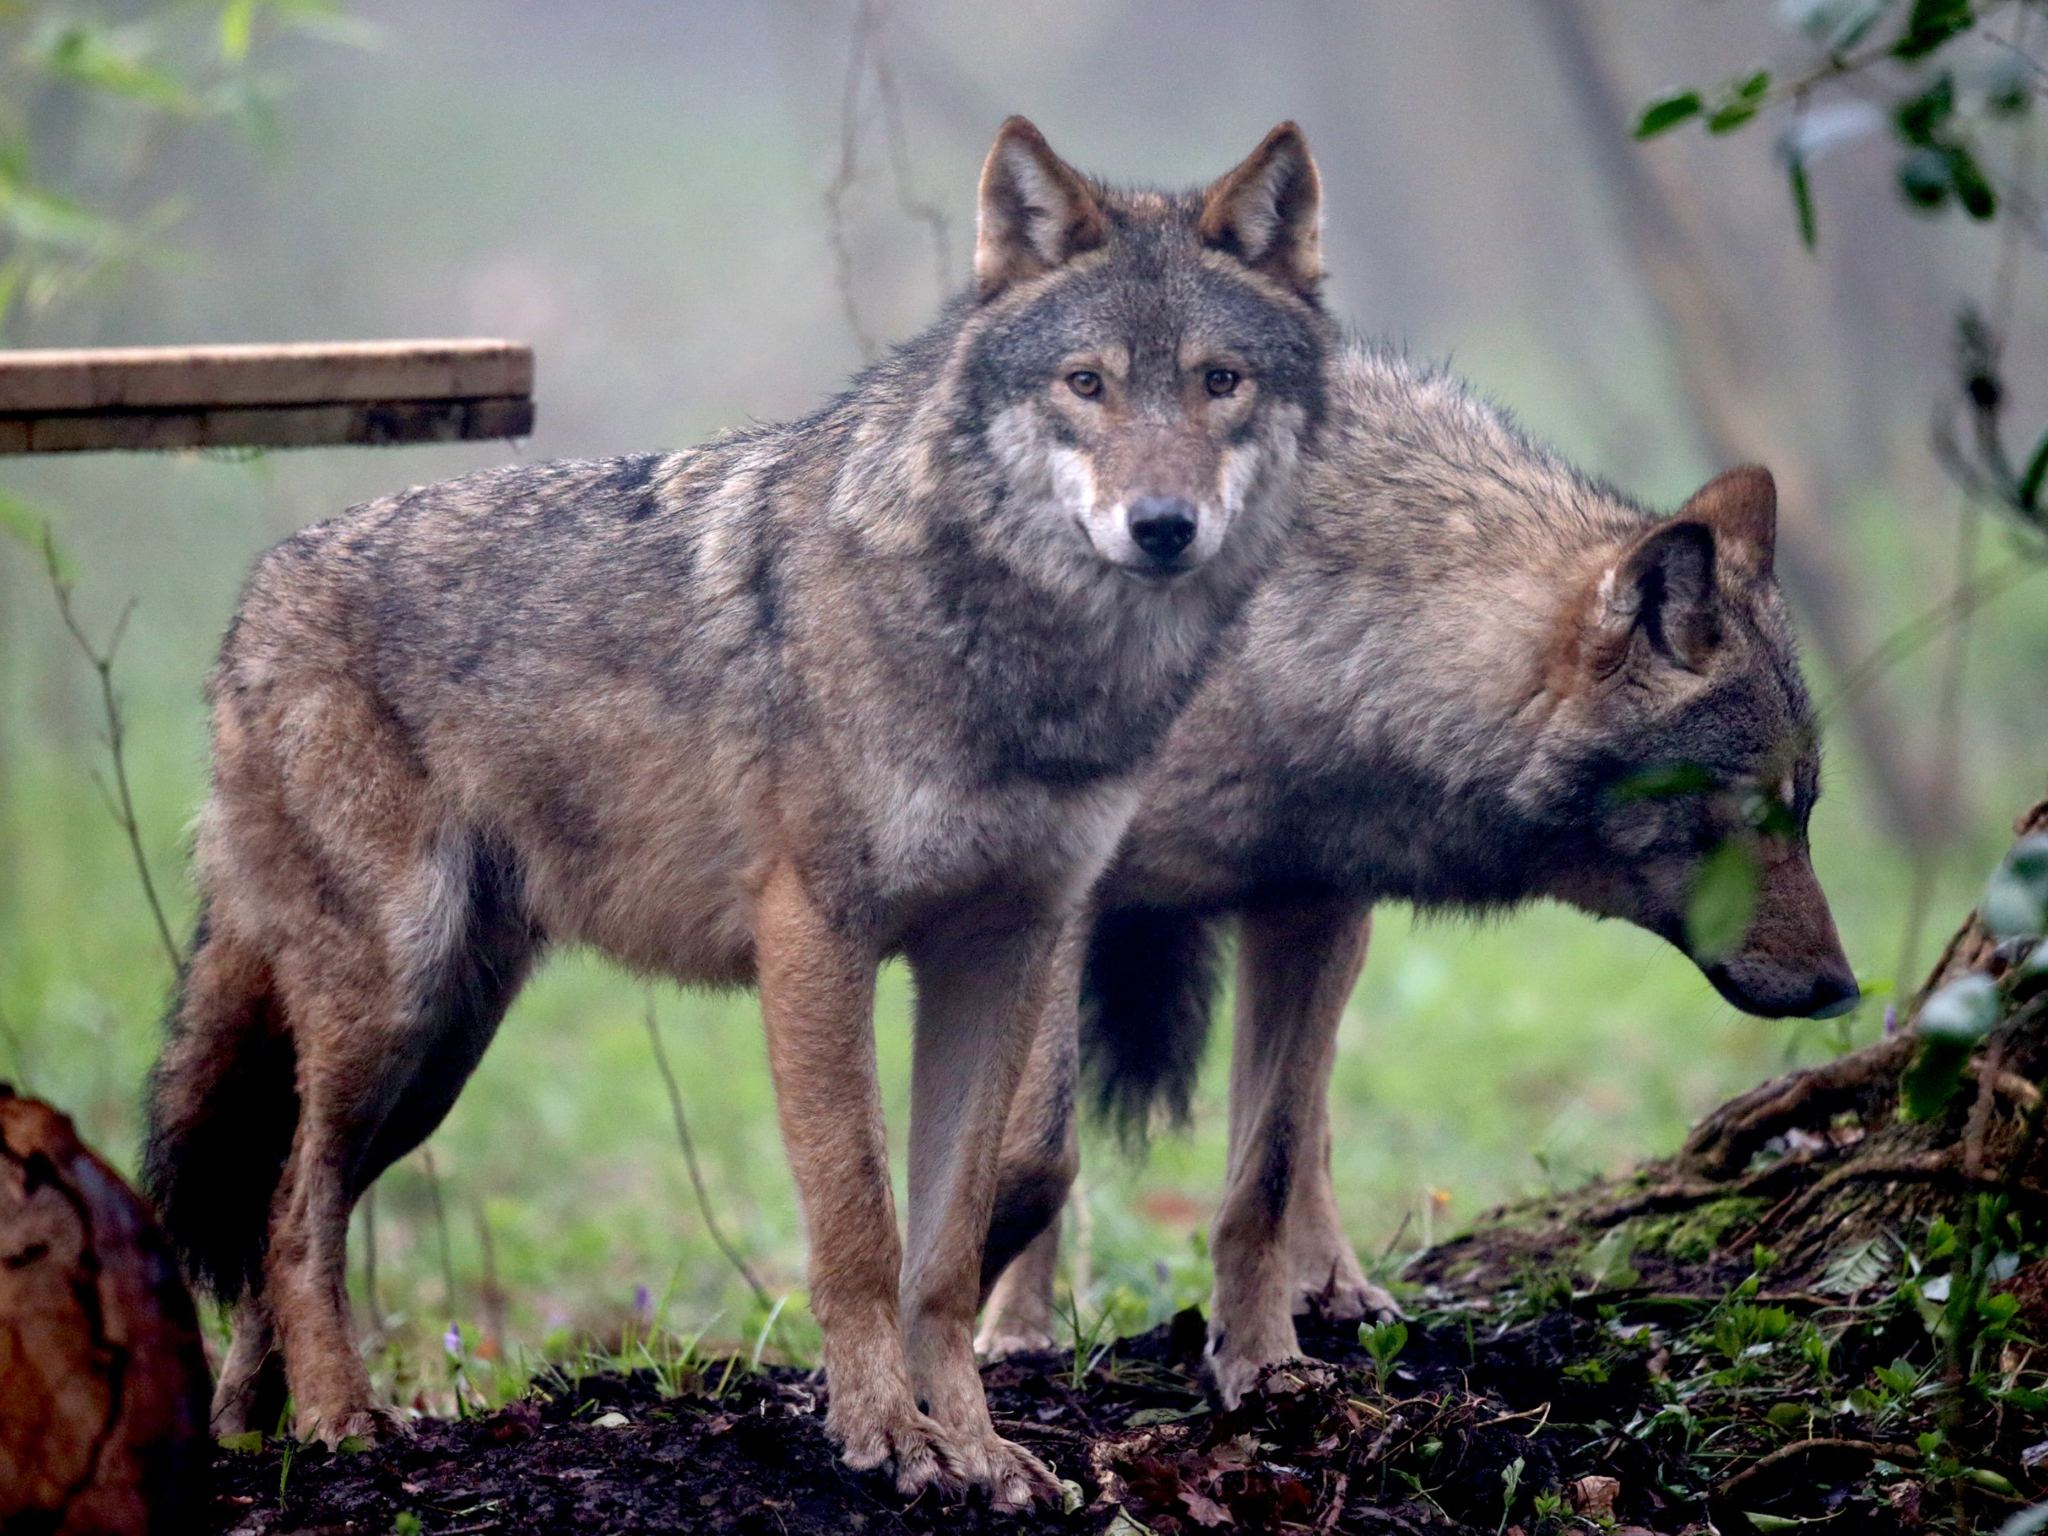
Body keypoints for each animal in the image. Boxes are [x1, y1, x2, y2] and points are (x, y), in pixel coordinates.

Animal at [140, 123, 1327, 1515]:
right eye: (1086, 383)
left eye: (1217, 382)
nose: (1161, 527)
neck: (1018, 663)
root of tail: (253, 601)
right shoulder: (815, 938)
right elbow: (859, 1224)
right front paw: (886, 1442)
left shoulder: (1003, 952)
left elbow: (948, 1245)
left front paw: (978, 1451)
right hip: (397, 1008)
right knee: (290, 1209)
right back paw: (338, 1423)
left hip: (439, 1049)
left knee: (273, 1208)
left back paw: (252, 1434)